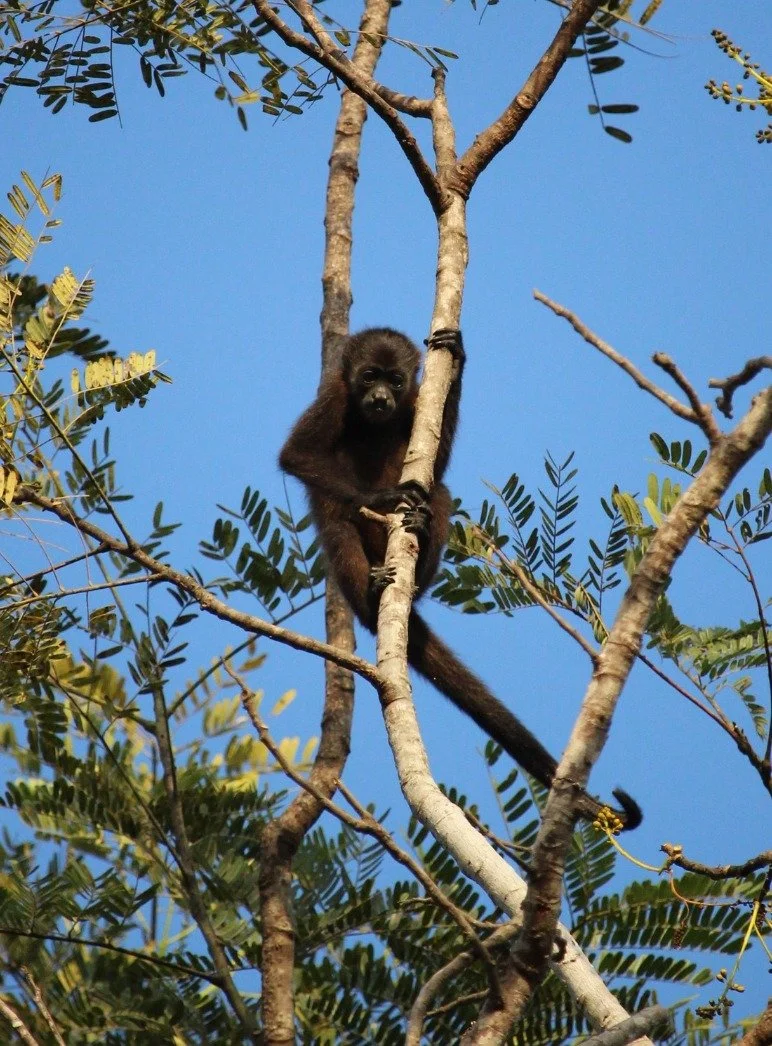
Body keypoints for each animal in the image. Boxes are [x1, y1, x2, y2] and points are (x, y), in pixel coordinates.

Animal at [279, 327, 642, 830]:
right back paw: (373, 589)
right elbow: (297, 455)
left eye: (395, 381)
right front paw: (381, 497)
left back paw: (417, 553)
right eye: (369, 376)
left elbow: (438, 465)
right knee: (335, 516)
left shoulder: (417, 401)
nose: (379, 398)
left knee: (440, 495)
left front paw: (460, 357)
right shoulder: (333, 397)